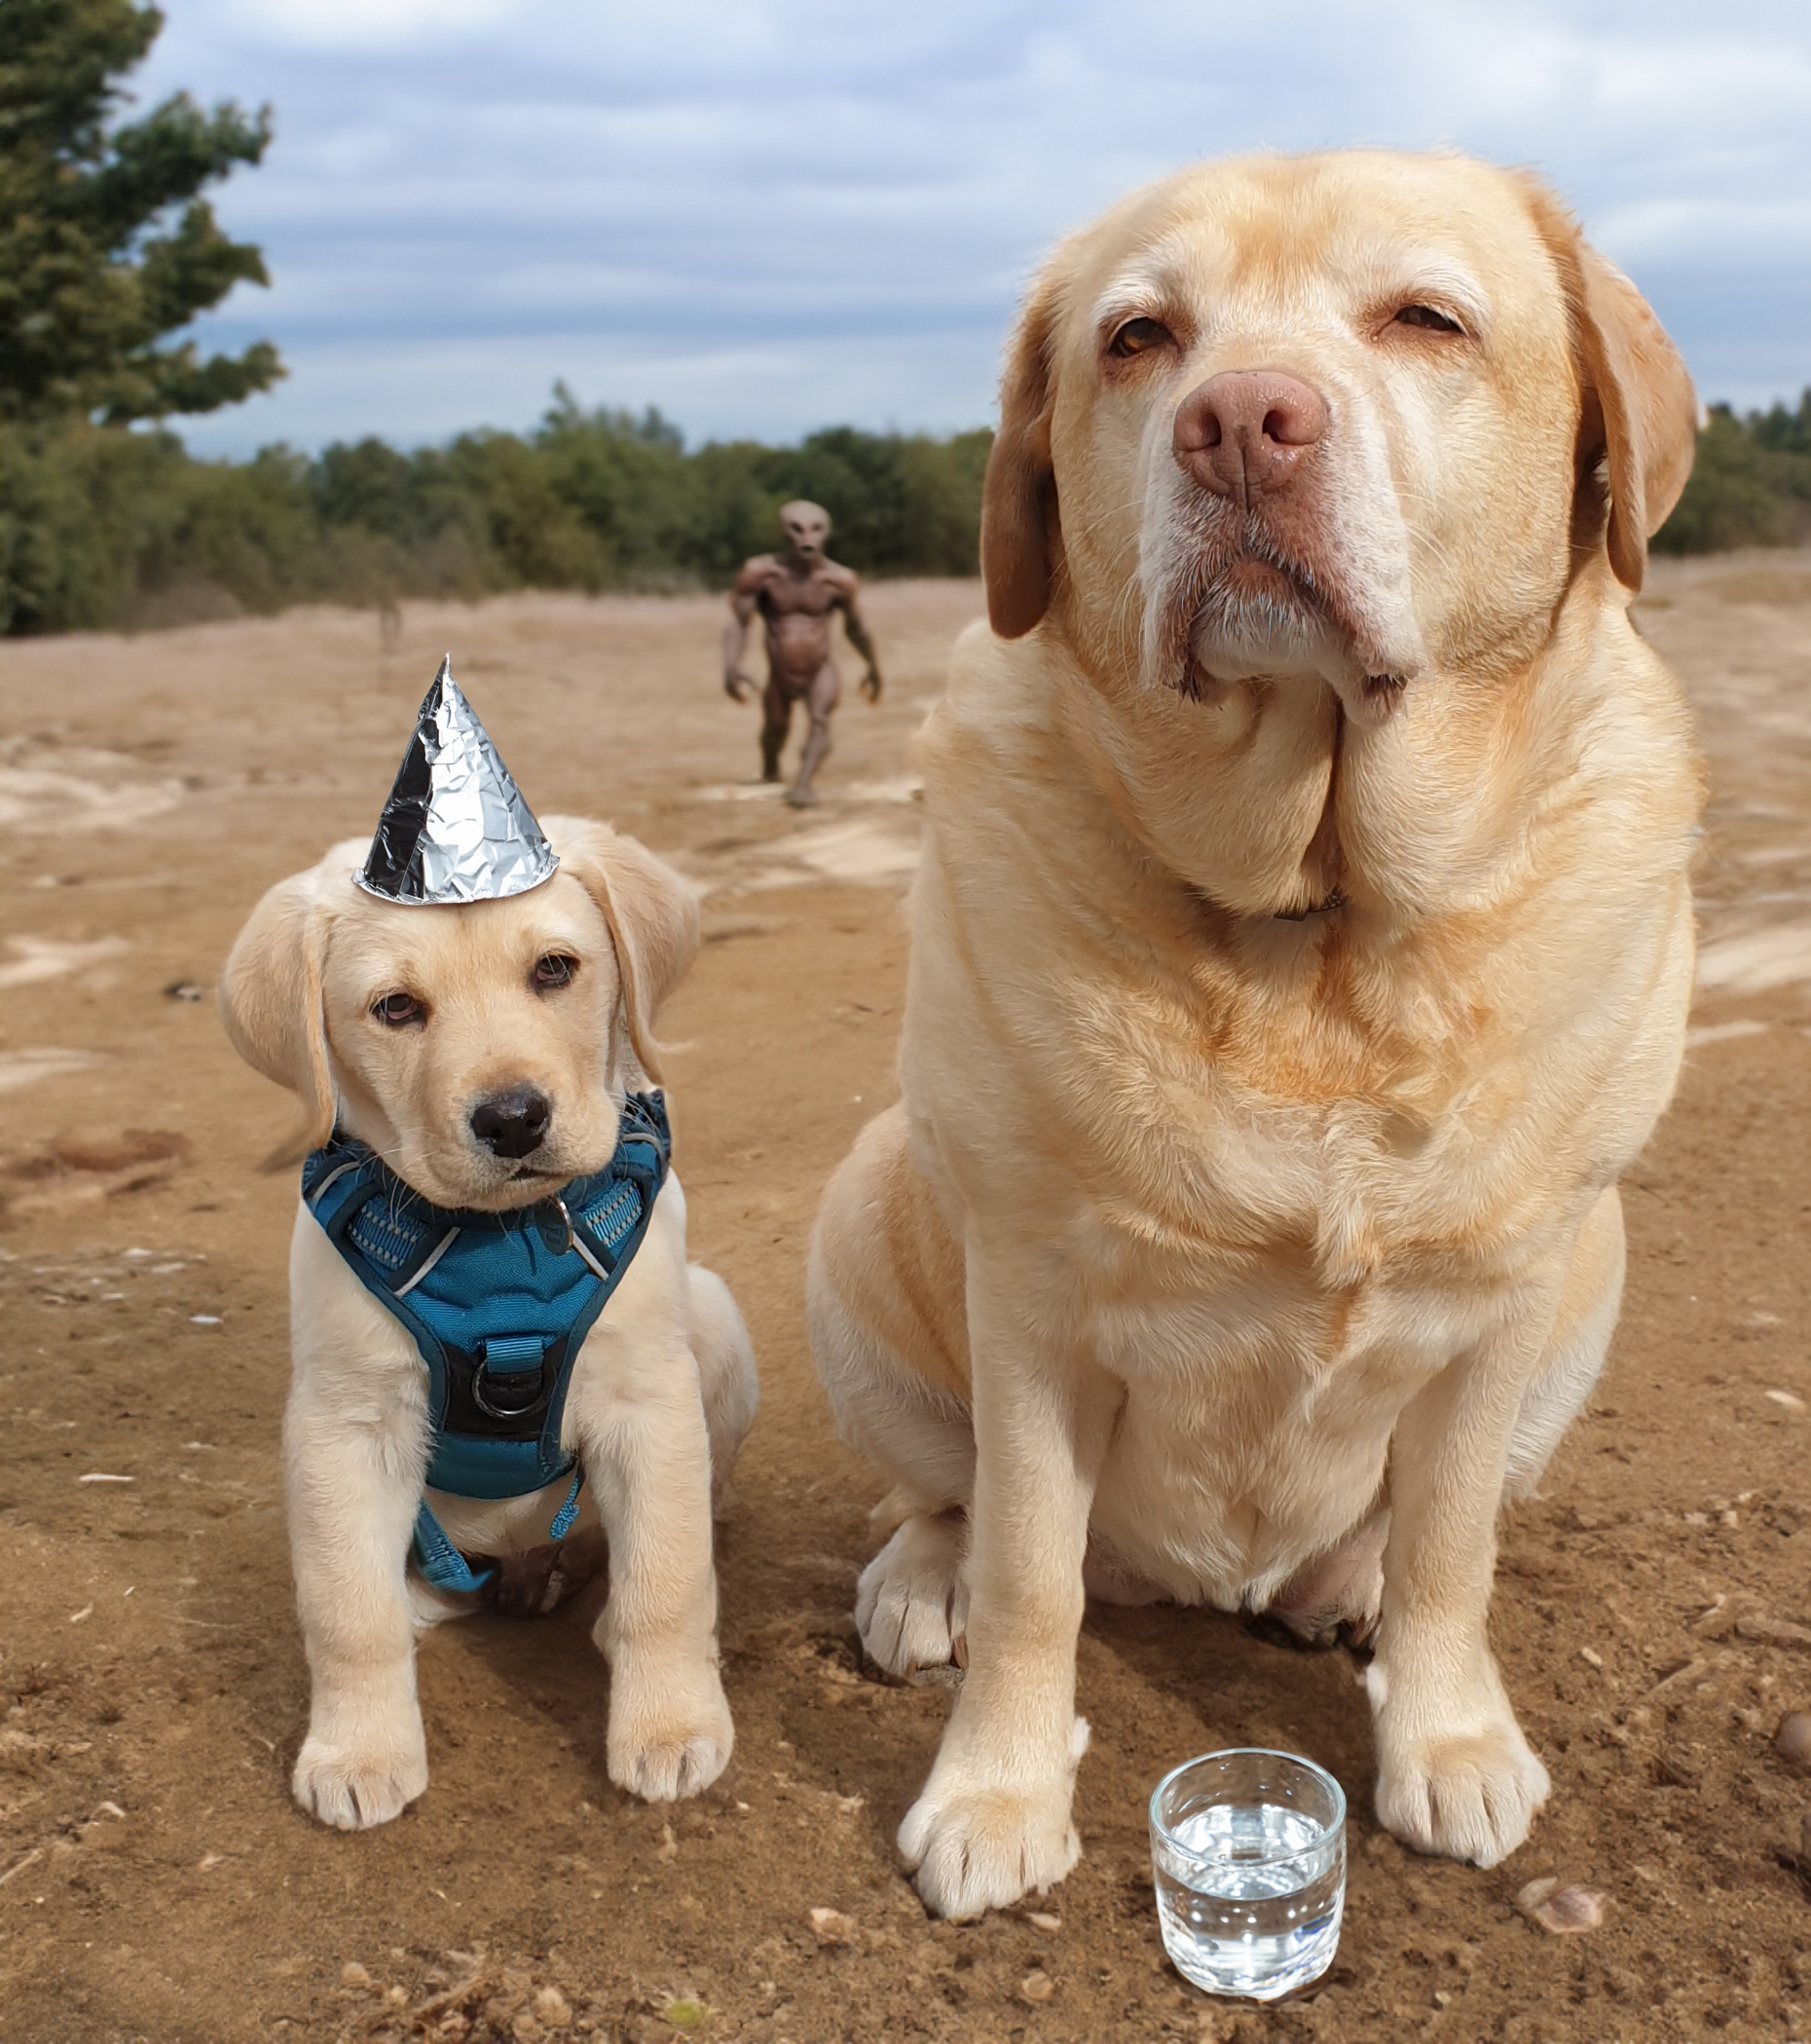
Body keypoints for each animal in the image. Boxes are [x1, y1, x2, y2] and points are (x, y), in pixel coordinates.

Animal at [221, 818, 757, 1827]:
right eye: (395, 1007)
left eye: (555, 969)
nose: (513, 1119)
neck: (499, 1247)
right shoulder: (342, 1428)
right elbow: (346, 1610)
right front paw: (359, 1750)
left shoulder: (648, 1404)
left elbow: (667, 1580)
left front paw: (669, 1725)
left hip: (716, 1318)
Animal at [807, 149, 1702, 1918]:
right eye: (1139, 338)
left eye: (1425, 317)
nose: (1240, 424)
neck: (1321, 920)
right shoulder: (1031, 1293)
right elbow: (1030, 1568)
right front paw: (995, 1790)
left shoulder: (1507, 1297)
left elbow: (1452, 1549)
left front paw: (1450, 1738)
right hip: (863, 1210)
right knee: (952, 1497)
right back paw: (924, 1580)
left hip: (1597, 1274)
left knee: (1397, 1528)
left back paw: (1338, 1581)